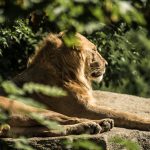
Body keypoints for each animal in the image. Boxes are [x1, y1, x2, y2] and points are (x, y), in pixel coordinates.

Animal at [0, 31, 149, 137]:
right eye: (94, 50)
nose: (107, 64)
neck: (68, 73)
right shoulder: (83, 108)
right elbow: (123, 114)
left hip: (17, 128)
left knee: (52, 129)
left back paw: (93, 127)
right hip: (26, 108)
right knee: (68, 119)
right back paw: (98, 124)